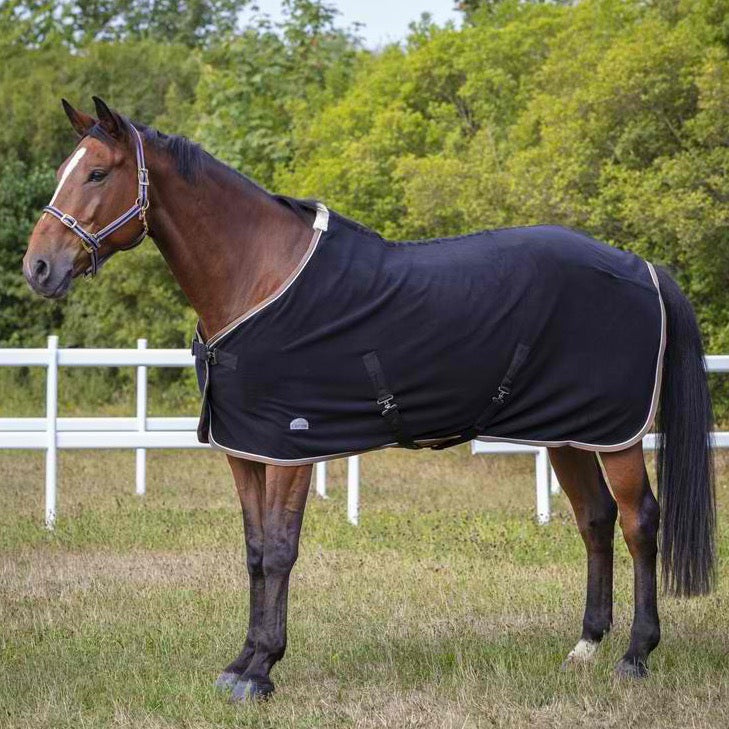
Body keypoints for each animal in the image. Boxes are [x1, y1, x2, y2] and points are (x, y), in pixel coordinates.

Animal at [22, 97, 716, 702]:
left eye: (97, 172)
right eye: (65, 172)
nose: (38, 268)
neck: (259, 278)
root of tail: (641, 265)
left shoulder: (290, 449)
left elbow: (281, 551)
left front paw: (262, 671)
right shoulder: (244, 450)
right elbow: (254, 553)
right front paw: (239, 663)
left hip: (616, 434)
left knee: (639, 522)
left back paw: (635, 656)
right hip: (569, 431)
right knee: (595, 519)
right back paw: (585, 648)